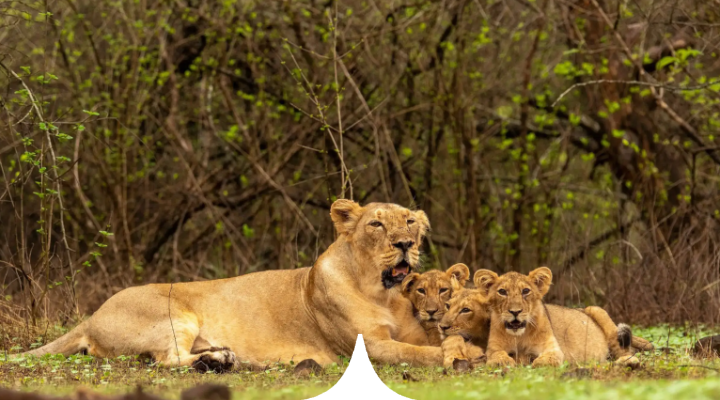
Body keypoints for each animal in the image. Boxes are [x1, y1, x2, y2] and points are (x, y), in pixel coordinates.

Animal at [14, 200, 447, 370]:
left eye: (409, 221)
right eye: (376, 224)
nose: (405, 244)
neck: (383, 294)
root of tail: (92, 316)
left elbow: (424, 343)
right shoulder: (369, 346)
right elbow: (416, 353)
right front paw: (453, 356)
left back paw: (223, 357)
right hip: (173, 315)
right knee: (165, 360)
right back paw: (219, 362)